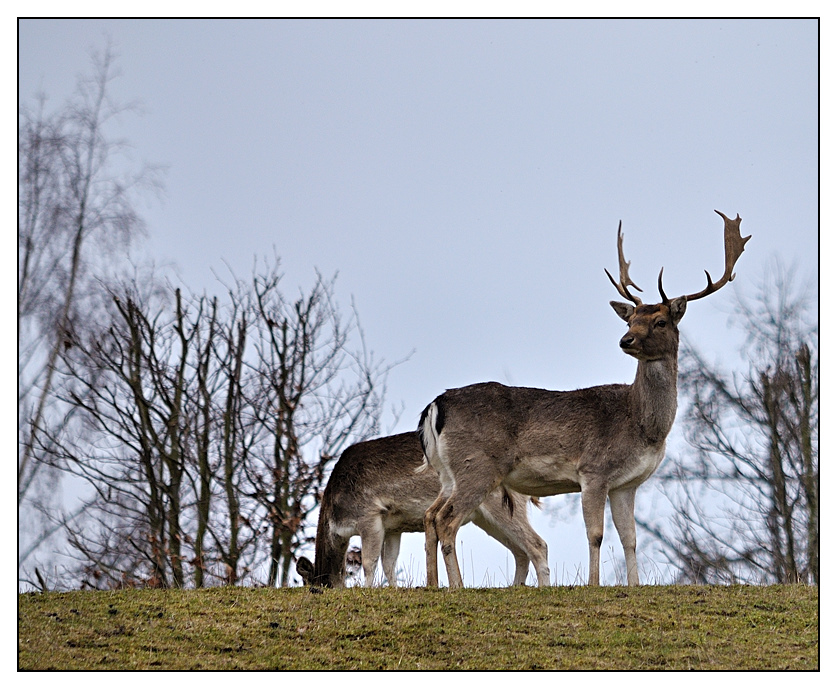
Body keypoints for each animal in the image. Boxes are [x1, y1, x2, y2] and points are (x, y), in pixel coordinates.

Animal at [296, 430, 552, 584]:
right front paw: (393, 589)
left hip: (501, 505)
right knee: (520, 551)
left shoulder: (370, 514)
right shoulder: (393, 527)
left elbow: (370, 562)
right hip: (486, 518)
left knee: (537, 544)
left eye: (312, 587)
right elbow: (389, 563)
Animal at [424, 210, 752, 584]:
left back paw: (435, 585)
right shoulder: (594, 469)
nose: (626, 340)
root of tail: (436, 406)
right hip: (476, 466)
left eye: (660, 321)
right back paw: (456, 586)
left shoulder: (626, 484)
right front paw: (594, 584)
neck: (644, 427)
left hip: (448, 473)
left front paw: (634, 585)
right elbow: (595, 534)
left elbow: (630, 538)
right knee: (447, 519)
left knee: (431, 516)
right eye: (631, 319)